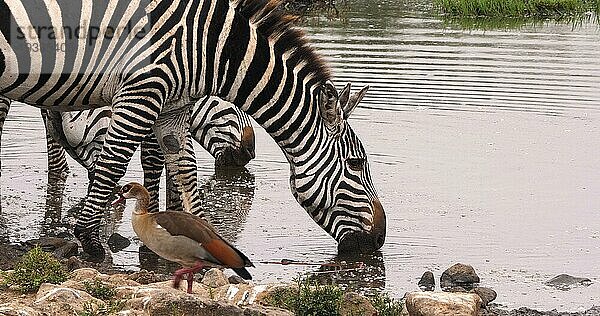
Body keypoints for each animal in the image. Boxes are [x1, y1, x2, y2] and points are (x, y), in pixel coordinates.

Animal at [0, 0, 386, 260]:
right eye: (356, 164)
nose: (379, 239)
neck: (205, 45)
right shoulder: (142, 90)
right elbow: (116, 165)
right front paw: (90, 240)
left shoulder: (171, 107)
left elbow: (184, 169)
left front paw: (199, 234)